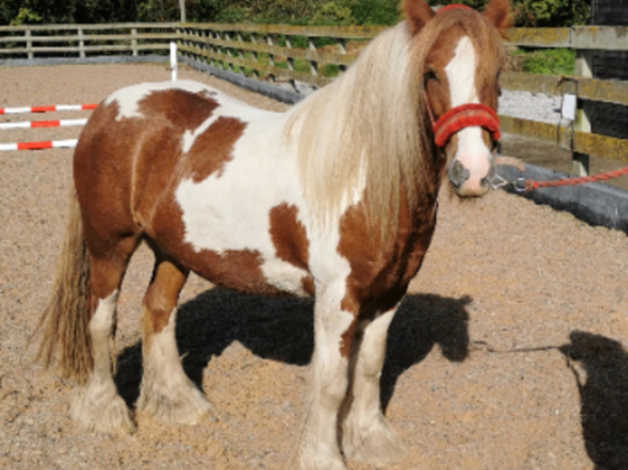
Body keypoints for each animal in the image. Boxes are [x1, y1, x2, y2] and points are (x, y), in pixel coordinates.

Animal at [38, 1, 510, 468]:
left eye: (497, 74)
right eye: (430, 72)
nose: (472, 172)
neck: (363, 175)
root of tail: (108, 108)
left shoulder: (390, 294)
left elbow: (370, 367)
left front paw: (371, 443)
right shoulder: (337, 297)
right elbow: (332, 382)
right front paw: (323, 456)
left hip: (174, 250)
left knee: (158, 310)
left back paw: (178, 404)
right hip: (110, 246)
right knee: (101, 320)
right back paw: (107, 412)